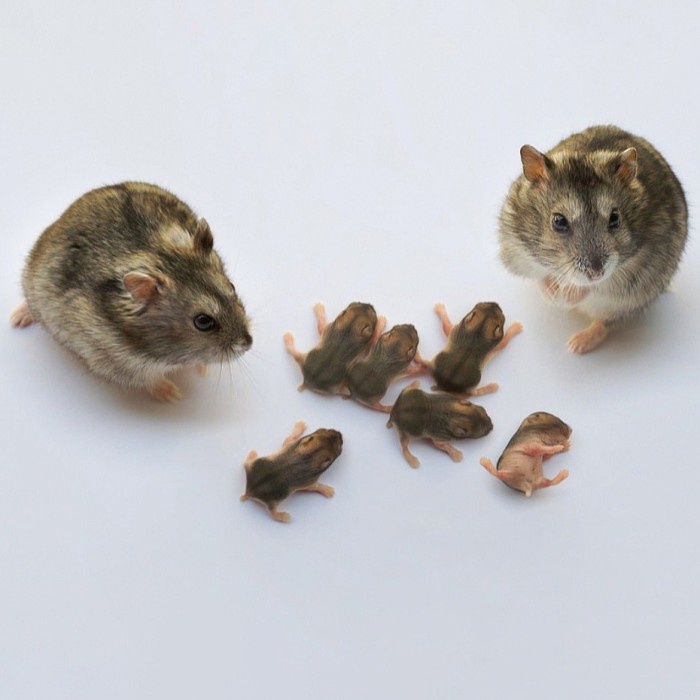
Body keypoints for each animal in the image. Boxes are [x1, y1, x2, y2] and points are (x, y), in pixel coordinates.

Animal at [10, 182, 252, 401]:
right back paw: (16, 319)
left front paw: (203, 369)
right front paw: (174, 396)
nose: (248, 344)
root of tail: (61, 218)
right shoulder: (117, 364)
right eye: (203, 321)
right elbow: (152, 382)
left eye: (232, 287)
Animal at [499, 125, 688, 353]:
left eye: (615, 217)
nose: (597, 273)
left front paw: (566, 298)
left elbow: (592, 287)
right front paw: (553, 296)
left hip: (630, 304)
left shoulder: (636, 272)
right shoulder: (516, 247)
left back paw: (576, 345)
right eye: (559, 221)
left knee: (604, 323)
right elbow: (540, 276)